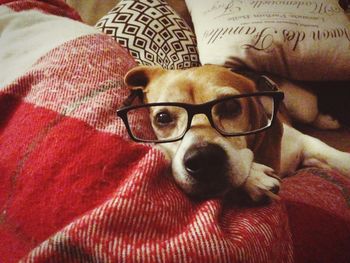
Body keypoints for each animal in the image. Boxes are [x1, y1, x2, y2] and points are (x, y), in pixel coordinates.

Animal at [121, 65, 350, 201]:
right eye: (162, 118)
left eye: (231, 106)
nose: (204, 159)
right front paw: (255, 177)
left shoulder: (303, 142)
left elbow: (336, 157)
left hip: (304, 106)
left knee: (312, 115)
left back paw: (328, 121)